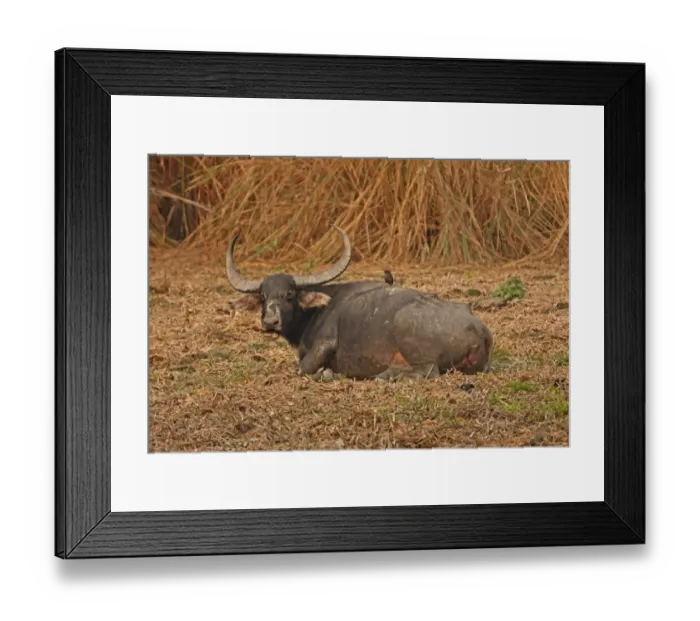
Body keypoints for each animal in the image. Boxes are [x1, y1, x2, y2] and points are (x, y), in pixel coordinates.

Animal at [226, 226, 494, 381]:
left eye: (290, 293)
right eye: (263, 295)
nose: (270, 321)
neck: (315, 312)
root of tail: (480, 330)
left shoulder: (324, 344)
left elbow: (302, 367)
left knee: (428, 371)